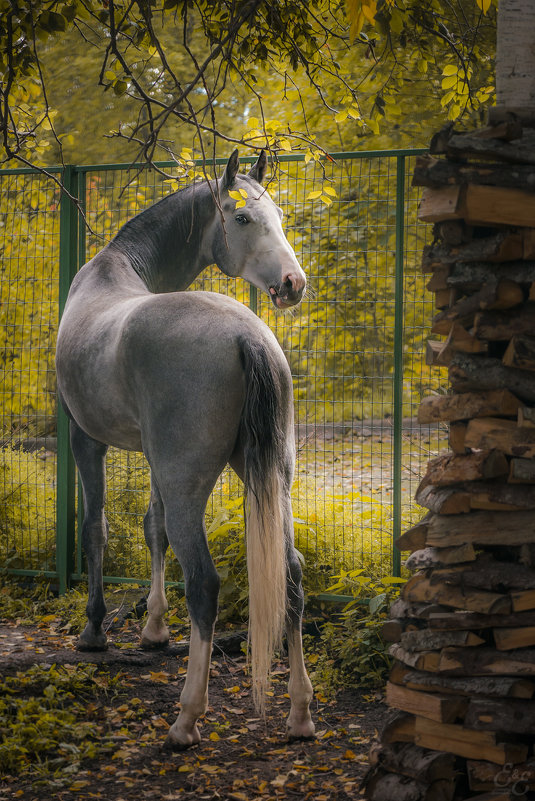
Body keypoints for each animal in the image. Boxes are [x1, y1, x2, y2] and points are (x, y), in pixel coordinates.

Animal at [55, 152, 314, 752]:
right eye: (242, 218)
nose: (293, 283)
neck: (115, 272)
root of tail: (248, 336)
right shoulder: (153, 460)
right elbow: (154, 529)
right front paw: (153, 628)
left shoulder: (85, 439)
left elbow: (96, 528)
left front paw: (95, 630)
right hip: (271, 480)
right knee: (290, 576)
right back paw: (299, 714)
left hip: (187, 484)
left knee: (205, 583)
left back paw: (187, 719)